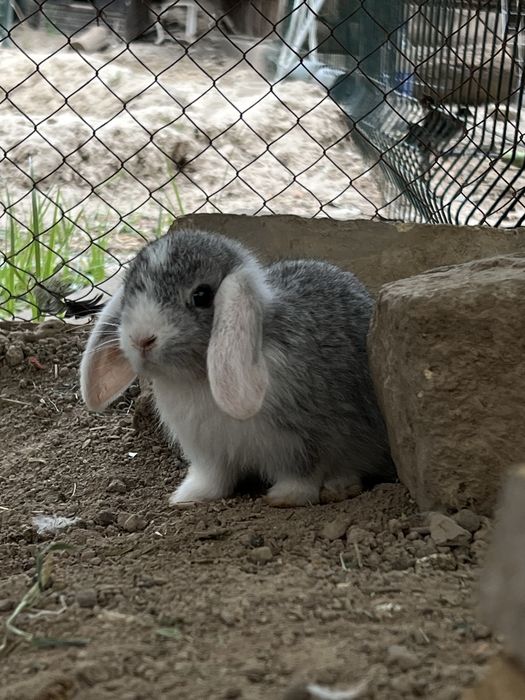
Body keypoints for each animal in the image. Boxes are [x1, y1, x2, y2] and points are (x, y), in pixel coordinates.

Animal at [80, 228, 395, 507]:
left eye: (202, 296)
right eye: (130, 293)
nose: (141, 339)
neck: (199, 377)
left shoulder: (307, 438)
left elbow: (304, 473)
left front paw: (285, 498)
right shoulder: (209, 453)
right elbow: (214, 479)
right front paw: (188, 497)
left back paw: (339, 487)